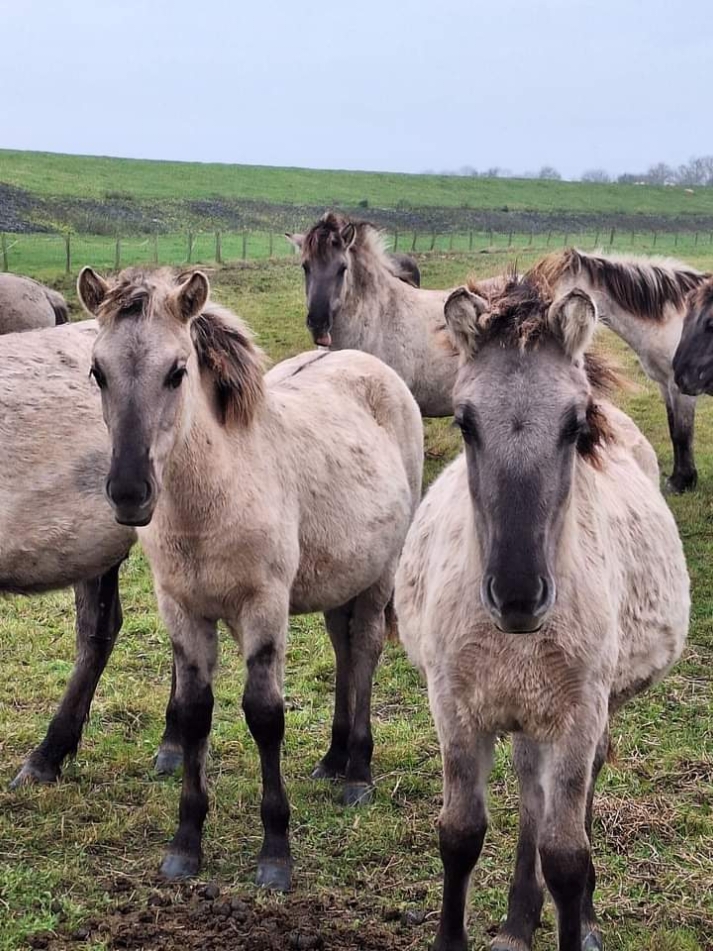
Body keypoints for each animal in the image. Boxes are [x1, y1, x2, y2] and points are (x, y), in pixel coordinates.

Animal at [78, 266, 422, 892]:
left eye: (177, 370)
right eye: (98, 371)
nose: (130, 492)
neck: (213, 495)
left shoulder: (263, 607)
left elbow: (265, 716)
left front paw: (275, 853)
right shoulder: (183, 610)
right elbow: (194, 713)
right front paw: (185, 845)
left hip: (378, 575)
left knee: (364, 649)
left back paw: (357, 773)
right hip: (339, 576)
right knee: (343, 649)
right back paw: (333, 759)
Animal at [394, 274, 688, 951]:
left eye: (575, 425)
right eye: (466, 423)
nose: (518, 595)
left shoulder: (578, 715)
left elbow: (567, 856)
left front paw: (578, 922)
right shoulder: (454, 709)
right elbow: (460, 836)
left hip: (583, 712)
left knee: (571, 797)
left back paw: (580, 920)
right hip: (527, 715)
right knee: (531, 790)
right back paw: (517, 921)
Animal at [532, 249, 708, 494]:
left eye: (548, 289)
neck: (674, 321)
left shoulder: (682, 387)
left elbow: (683, 434)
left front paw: (682, 481)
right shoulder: (665, 385)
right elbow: (674, 430)